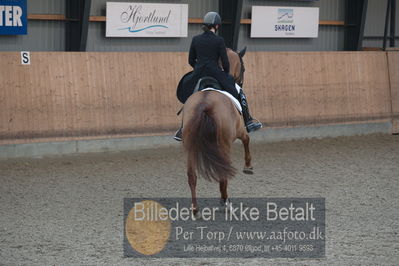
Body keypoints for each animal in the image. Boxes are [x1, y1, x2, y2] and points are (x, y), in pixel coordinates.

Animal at [181, 47, 253, 217]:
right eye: (244, 68)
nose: (240, 82)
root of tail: (204, 105)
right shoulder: (240, 131)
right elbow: (247, 139)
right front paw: (248, 166)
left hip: (191, 145)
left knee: (191, 175)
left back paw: (195, 209)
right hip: (224, 144)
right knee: (223, 173)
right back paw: (225, 202)